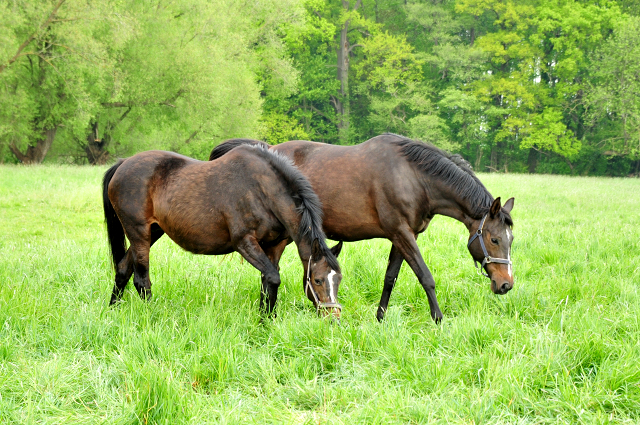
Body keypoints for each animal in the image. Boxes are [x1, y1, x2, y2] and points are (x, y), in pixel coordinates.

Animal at [102, 145, 342, 314]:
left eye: (338, 279)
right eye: (317, 280)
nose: (334, 317)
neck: (263, 189)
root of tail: (123, 164)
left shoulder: (274, 245)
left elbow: (268, 281)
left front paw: (266, 322)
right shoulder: (244, 242)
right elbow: (273, 278)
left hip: (152, 232)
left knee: (123, 269)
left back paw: (113, 311)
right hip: (139, 232)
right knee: (141, 280)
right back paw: (151, 315)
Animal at [210, 132, 516, 322]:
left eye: (510, 240)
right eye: (494, 239)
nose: (505, 284)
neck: (413, 177)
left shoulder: (403, 236)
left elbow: (390, 278)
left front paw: (380, 318)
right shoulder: (402, 234)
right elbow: (425, 277)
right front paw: (438, 320)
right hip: (282, 236)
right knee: (269, 274)